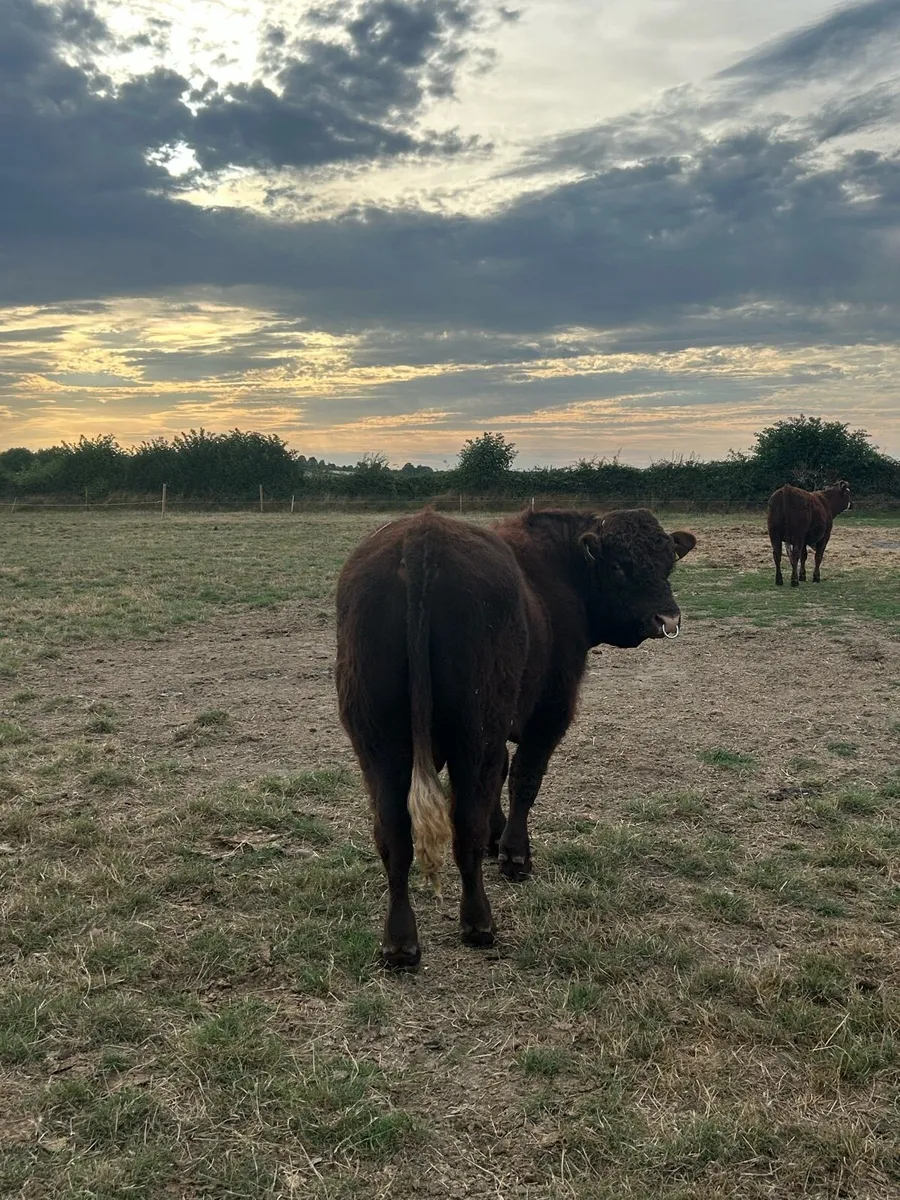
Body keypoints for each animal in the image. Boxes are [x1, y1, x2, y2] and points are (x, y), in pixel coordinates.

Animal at [335, 506, 696, 970]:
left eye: (668, 563)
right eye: (619, 565)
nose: (667, 619)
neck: (560, 570)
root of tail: (422, 535)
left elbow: (501, 778)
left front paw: (498, 835)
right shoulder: (550, 711)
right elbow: (524, 779)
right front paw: (514, 854)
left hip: (380, 744)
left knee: (394, 834)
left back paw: (399, 941)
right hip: (473, 732)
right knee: (463, 825)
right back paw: (477, 922)